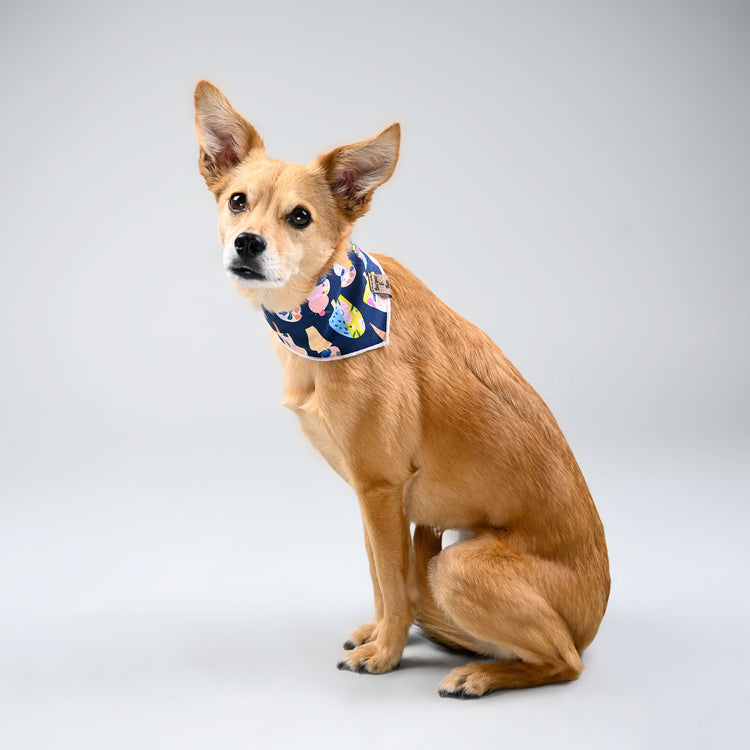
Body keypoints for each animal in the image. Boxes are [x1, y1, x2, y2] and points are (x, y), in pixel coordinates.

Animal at [192, 82, 612, 700]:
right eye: (238, 201)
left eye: (300, 217)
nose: (247, 243)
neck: (322, 309)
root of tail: (592, 623)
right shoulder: (370, 497)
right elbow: (380, 577)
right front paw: (381, 631)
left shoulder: (381, 489)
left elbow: (393, 581)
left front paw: (386, 653)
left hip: (459, 567)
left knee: (564, 662)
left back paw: (480, 675)